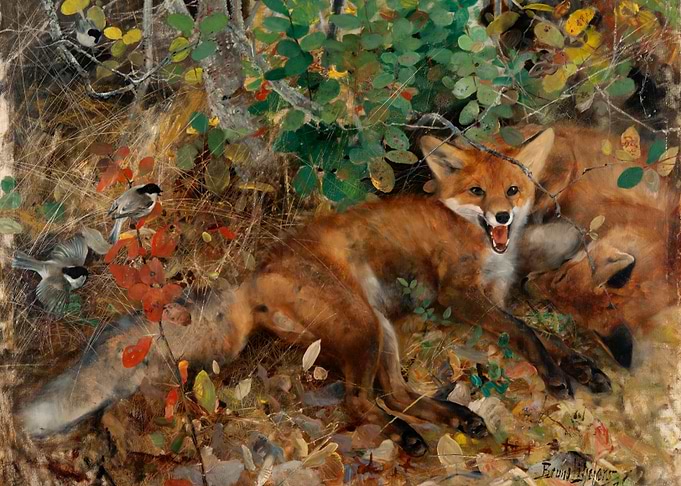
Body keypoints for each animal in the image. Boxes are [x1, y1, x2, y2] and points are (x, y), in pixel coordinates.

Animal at [18, 128, 597, 454]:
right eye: (478, 191)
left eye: (514, 190)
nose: (502, 217)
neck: (481, 243)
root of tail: (253, 275)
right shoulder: (460, 297)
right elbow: (526, 333)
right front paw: (556, 377)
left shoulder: (494, 298)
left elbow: (542, 332)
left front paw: (581, 366)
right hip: (362, 327)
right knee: (362, 402)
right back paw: (407, 437)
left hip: (378, 328)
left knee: (397, 394)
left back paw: (455, 418)